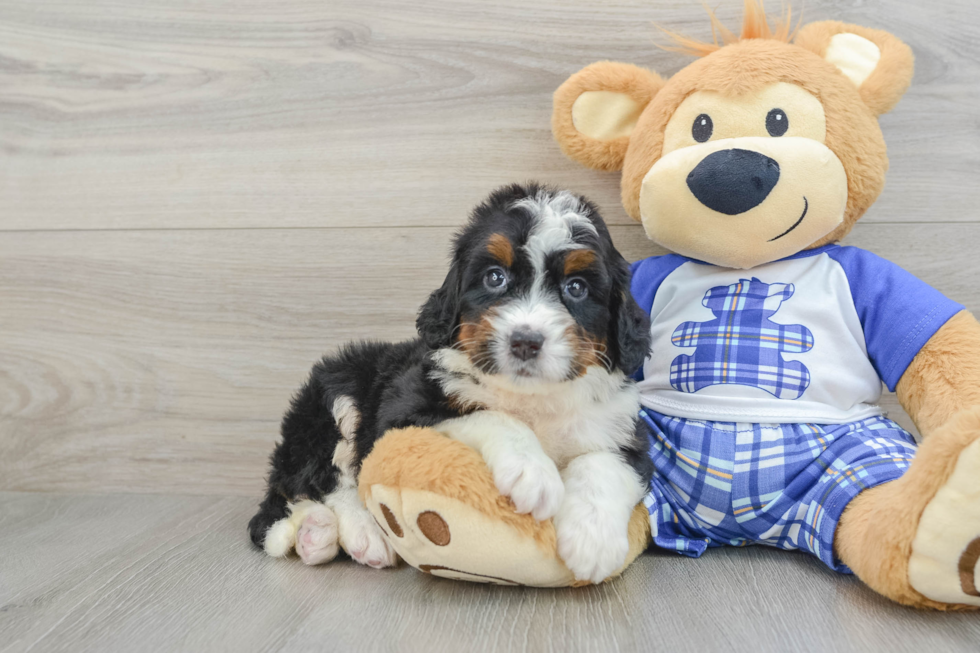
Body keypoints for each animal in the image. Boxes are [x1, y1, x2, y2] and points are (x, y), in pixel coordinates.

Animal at [249, 183, 656, 580]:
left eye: (576, 288)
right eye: (495, 277)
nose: (525, 341)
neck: (531, 398)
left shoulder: (625, 431)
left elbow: (604, 464)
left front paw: (594, 539)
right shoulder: (403, 411)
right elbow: (491, 416)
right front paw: (532, 473)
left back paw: (315, 536)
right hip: (333, 398)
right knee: (321, 479)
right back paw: (359, 532)